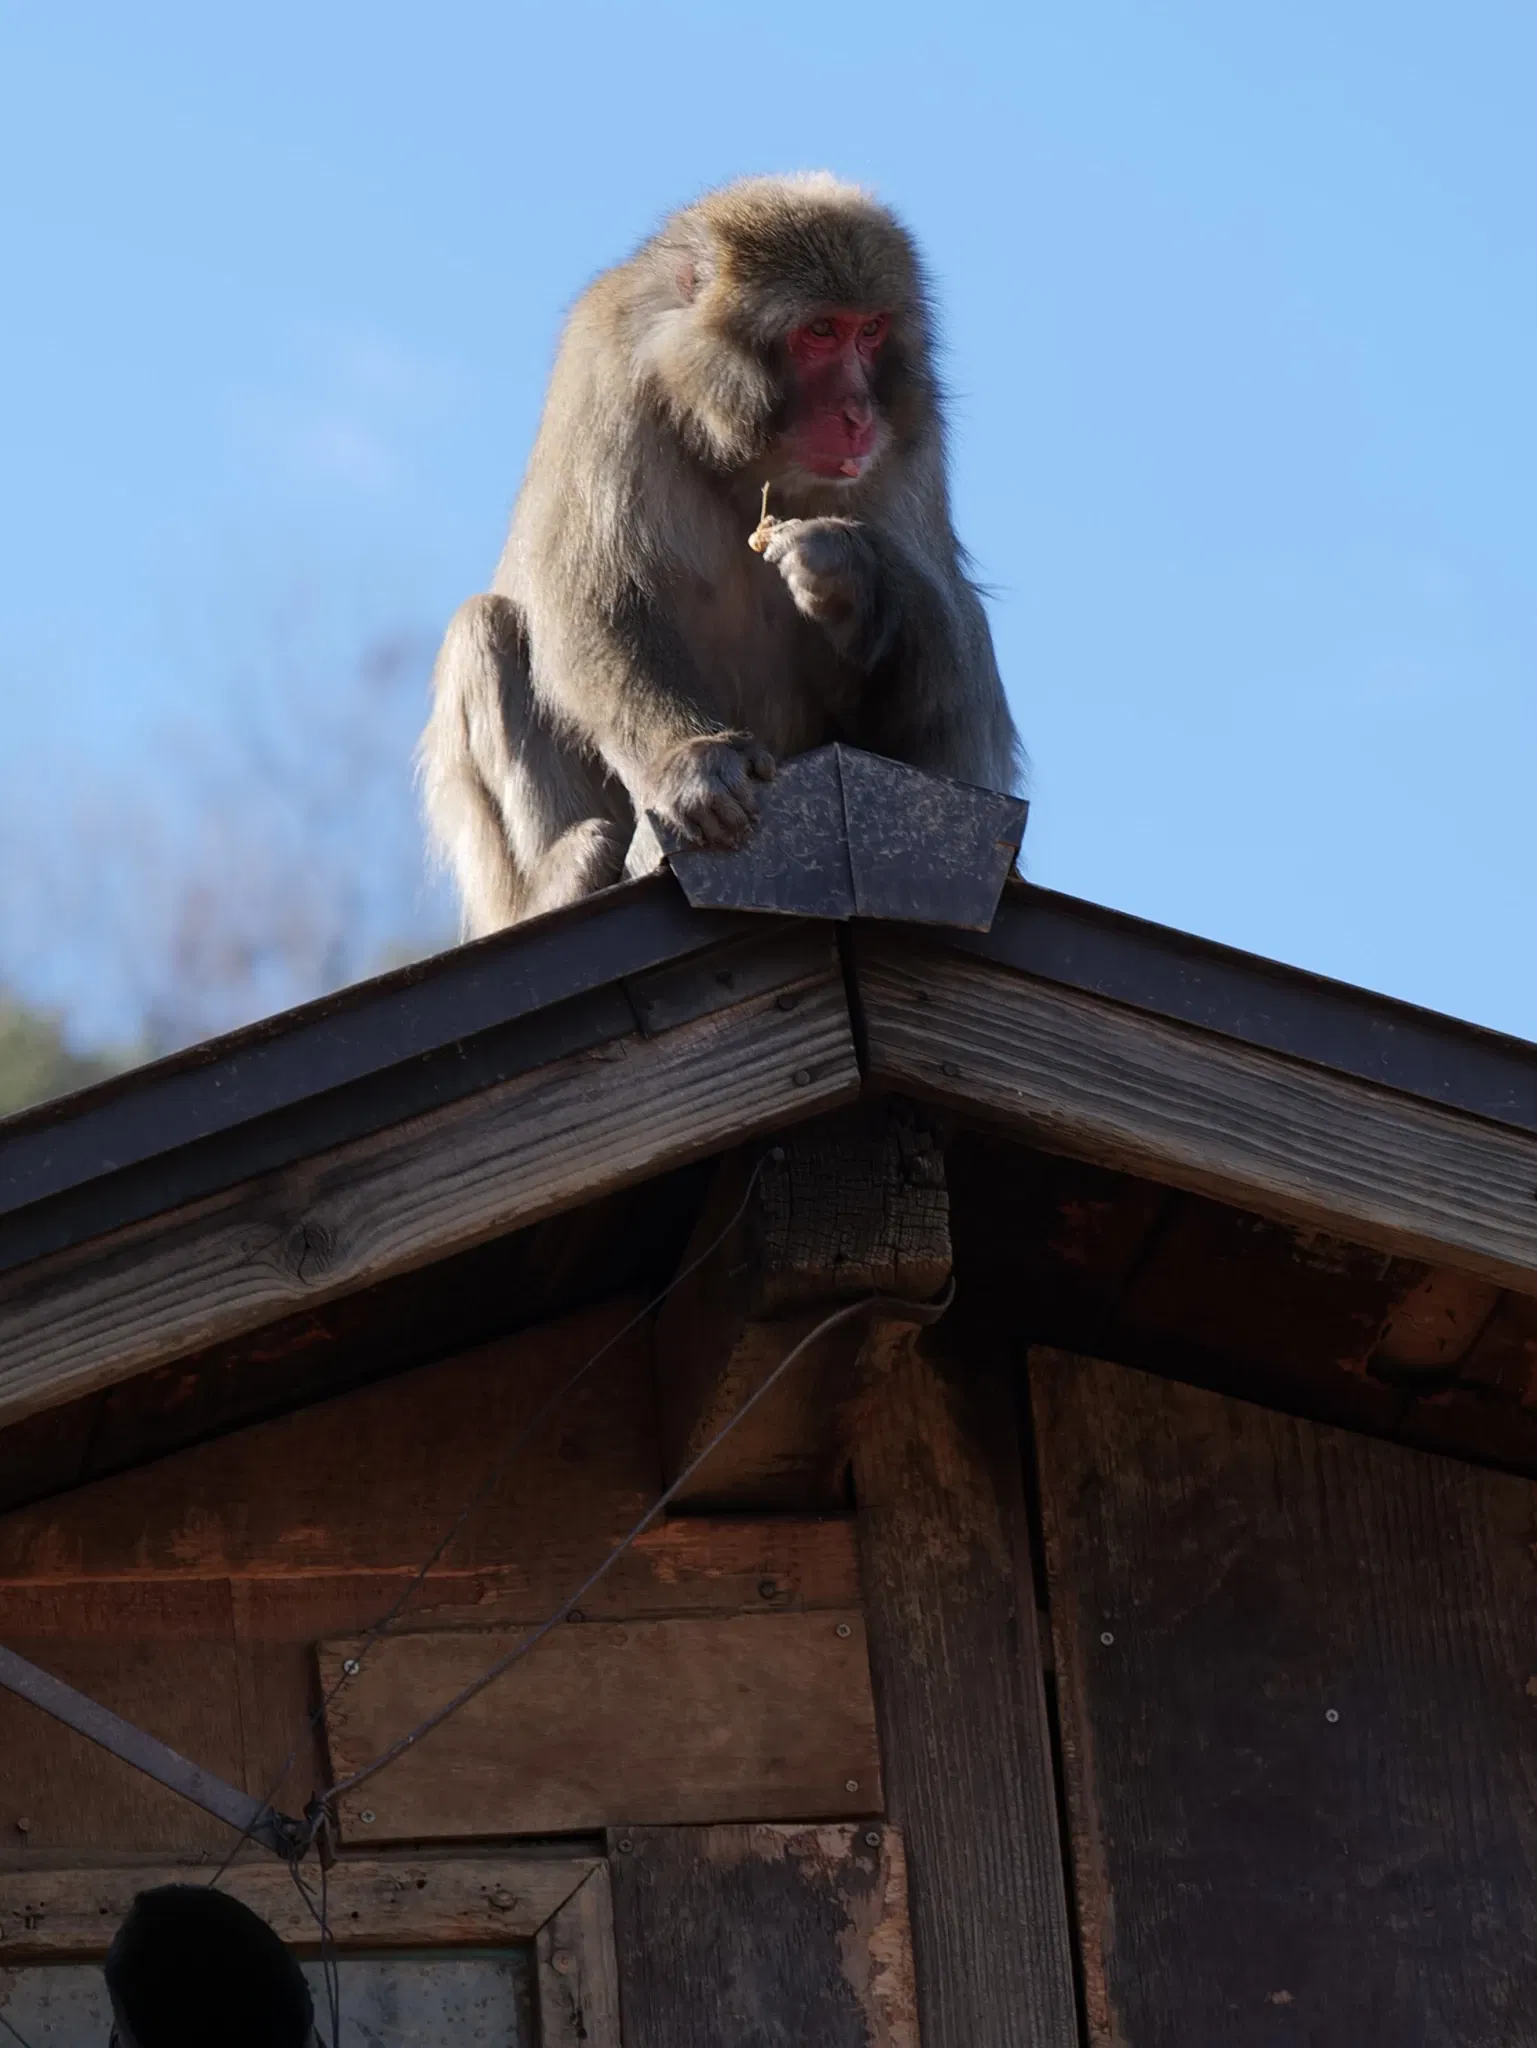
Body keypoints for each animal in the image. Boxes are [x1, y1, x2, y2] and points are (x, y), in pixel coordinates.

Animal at [420, 172, 1020, 936]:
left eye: (870, 330)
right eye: (819, 332)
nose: (858, 413)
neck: (732, 448)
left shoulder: (912, 432)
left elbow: (954, 669)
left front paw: (846, 570)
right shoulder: (605, 367)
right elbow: (586, 593)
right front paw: (689, 760)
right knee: (486, 627)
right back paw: (562, 880)